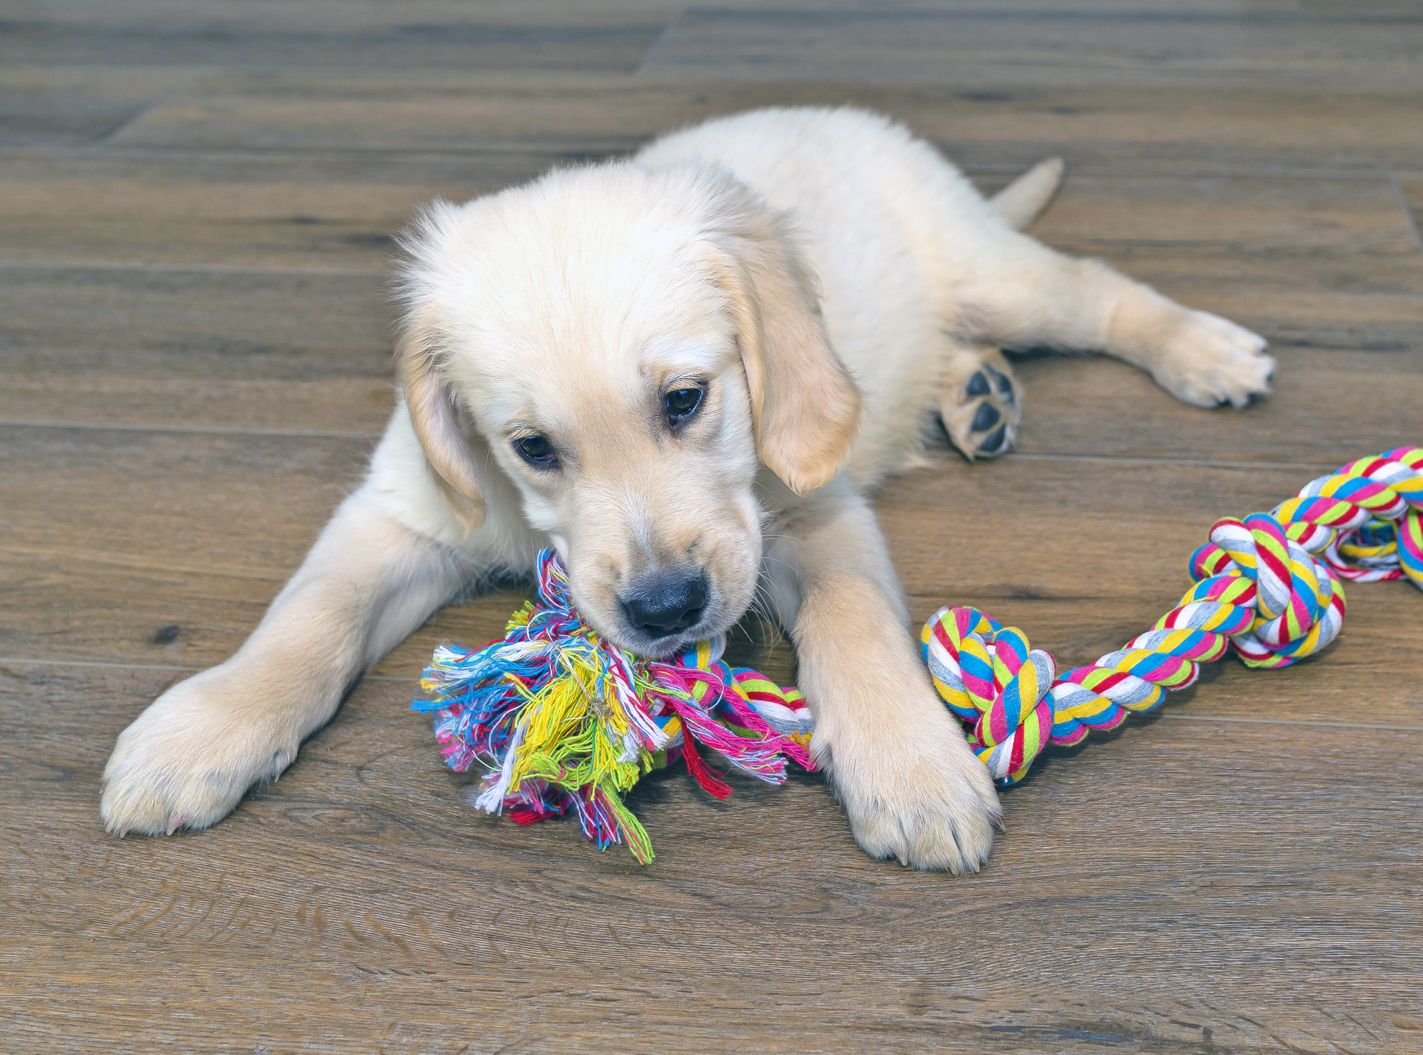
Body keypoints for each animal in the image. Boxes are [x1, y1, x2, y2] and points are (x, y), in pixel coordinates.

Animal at [103, 106, 1280, 865]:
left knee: (1092, 291)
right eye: (531, 447)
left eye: (684, 399)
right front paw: (202, 731)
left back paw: (1203, 350)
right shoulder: (405, 507)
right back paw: (977, 392)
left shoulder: (812, 505)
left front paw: (910, 768)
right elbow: (311, 617)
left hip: (990, 270)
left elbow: (852, 620)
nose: (666, 610)